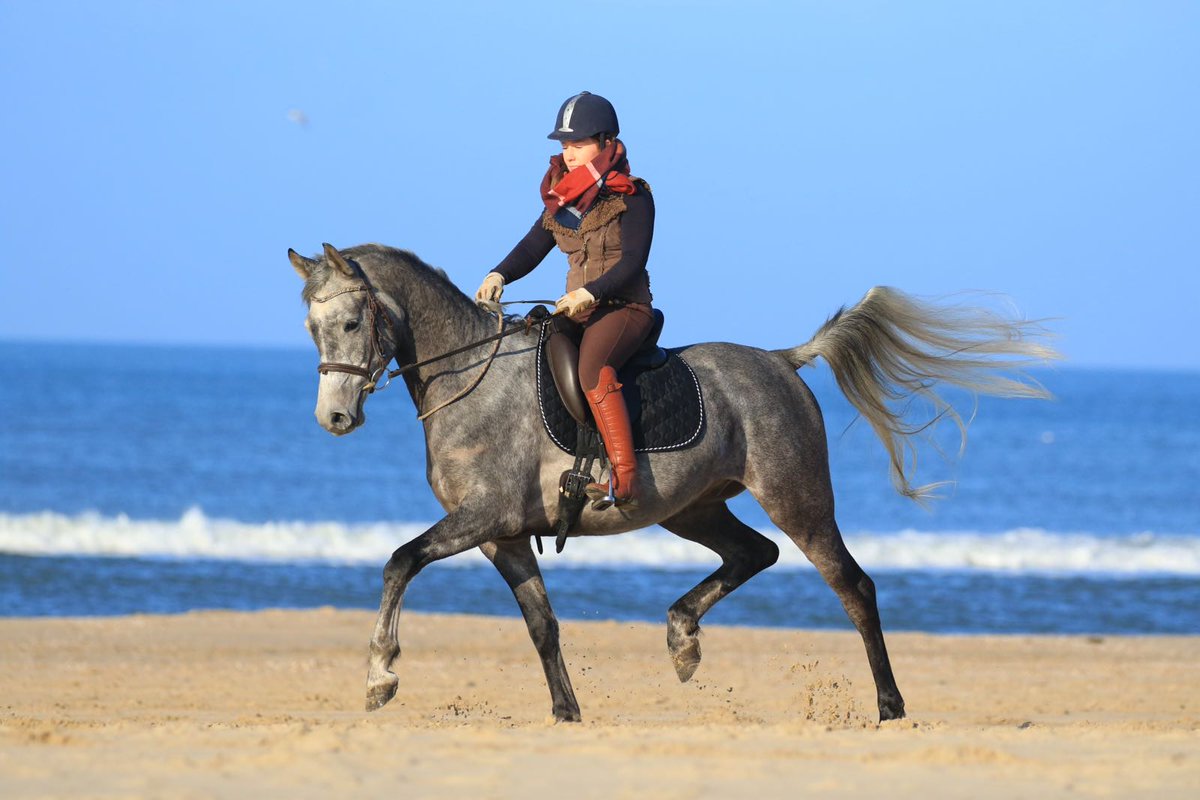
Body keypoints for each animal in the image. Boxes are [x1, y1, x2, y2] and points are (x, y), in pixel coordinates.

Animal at [288, 242, 1056, 723]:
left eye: (351, 322)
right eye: (311, 328)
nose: (333, 418)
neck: (468, 376)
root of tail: (781, 361)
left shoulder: (484, 516)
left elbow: (399, 562)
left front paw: (380, 676)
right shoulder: (502, 536)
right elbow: (542, 624)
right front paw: (566, 712)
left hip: (797, 498)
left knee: (852, 586)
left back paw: (889, 705)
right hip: (691, 509)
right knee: (753, 554)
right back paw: (682, 636)